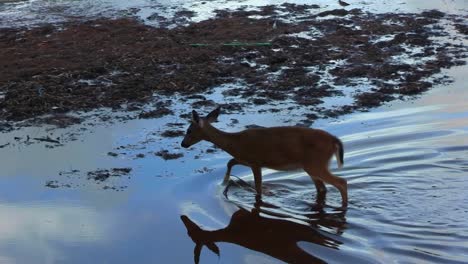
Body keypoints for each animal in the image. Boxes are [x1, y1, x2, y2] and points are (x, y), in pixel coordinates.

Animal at [180, 106, 348, 207]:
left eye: (189, 130)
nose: (183, 144)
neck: (235, 142)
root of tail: (334, 140)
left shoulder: (255, 162)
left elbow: (258, 188)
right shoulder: (246, 159)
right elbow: (230, 162)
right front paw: (225, 181)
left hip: (316, 163)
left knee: (341, 182)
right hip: (311, 166)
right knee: (323, 188)